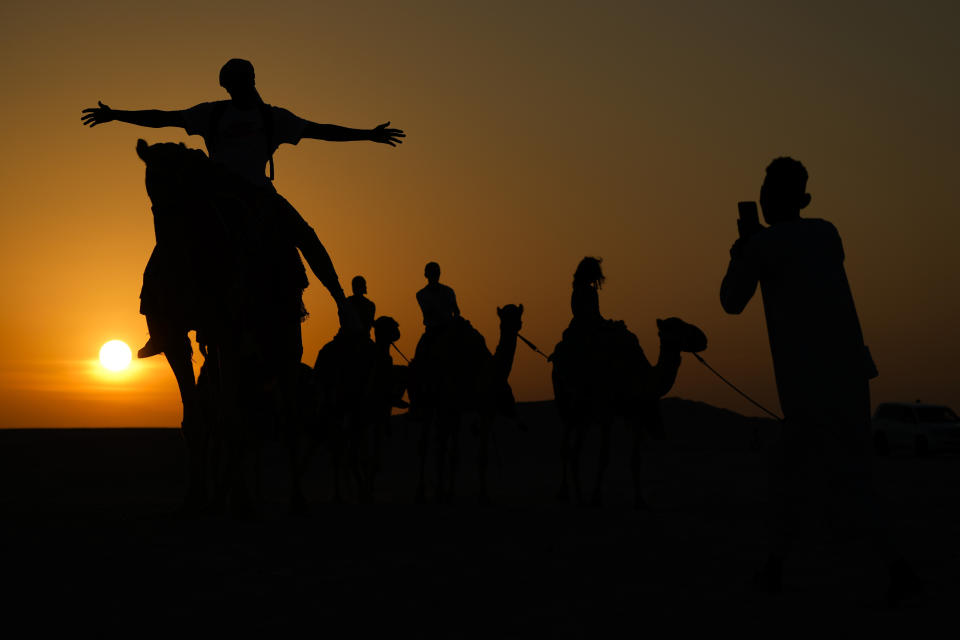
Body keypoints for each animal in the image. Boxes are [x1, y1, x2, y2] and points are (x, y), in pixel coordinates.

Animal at [406, 302, 520, 502]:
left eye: (518, 318)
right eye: (503, 320)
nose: (513, 327)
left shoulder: (485, 410)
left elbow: (481, 455)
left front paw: (483, 495)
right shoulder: (448, 404)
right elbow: (441, 446)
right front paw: (438, 492)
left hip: (451, 408)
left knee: (448, 445)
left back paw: (448, 491)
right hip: (430, 402)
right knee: (427, 442)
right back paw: (422, 490)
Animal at [548, 316, 704, 510]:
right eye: (676, 326)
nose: (702, 338)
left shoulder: (636, 415)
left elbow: (636, 459)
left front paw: (640, 501)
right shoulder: (607, 412)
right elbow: (604, 457)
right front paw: (596, 498)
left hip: (585, 414)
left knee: (575, 451)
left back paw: (579, 497)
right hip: (570, 405)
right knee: (566, 446)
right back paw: (564, 493)